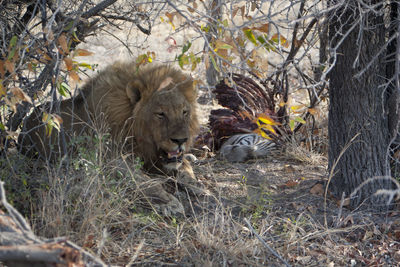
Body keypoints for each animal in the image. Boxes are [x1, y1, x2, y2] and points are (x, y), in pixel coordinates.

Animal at [18, 60, 200, 216]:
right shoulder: (110, 160)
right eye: (161, 114)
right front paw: (169, 202)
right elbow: (143, 181)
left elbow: (185, 167)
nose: (181, 140)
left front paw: (195, 184)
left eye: (184, 112)